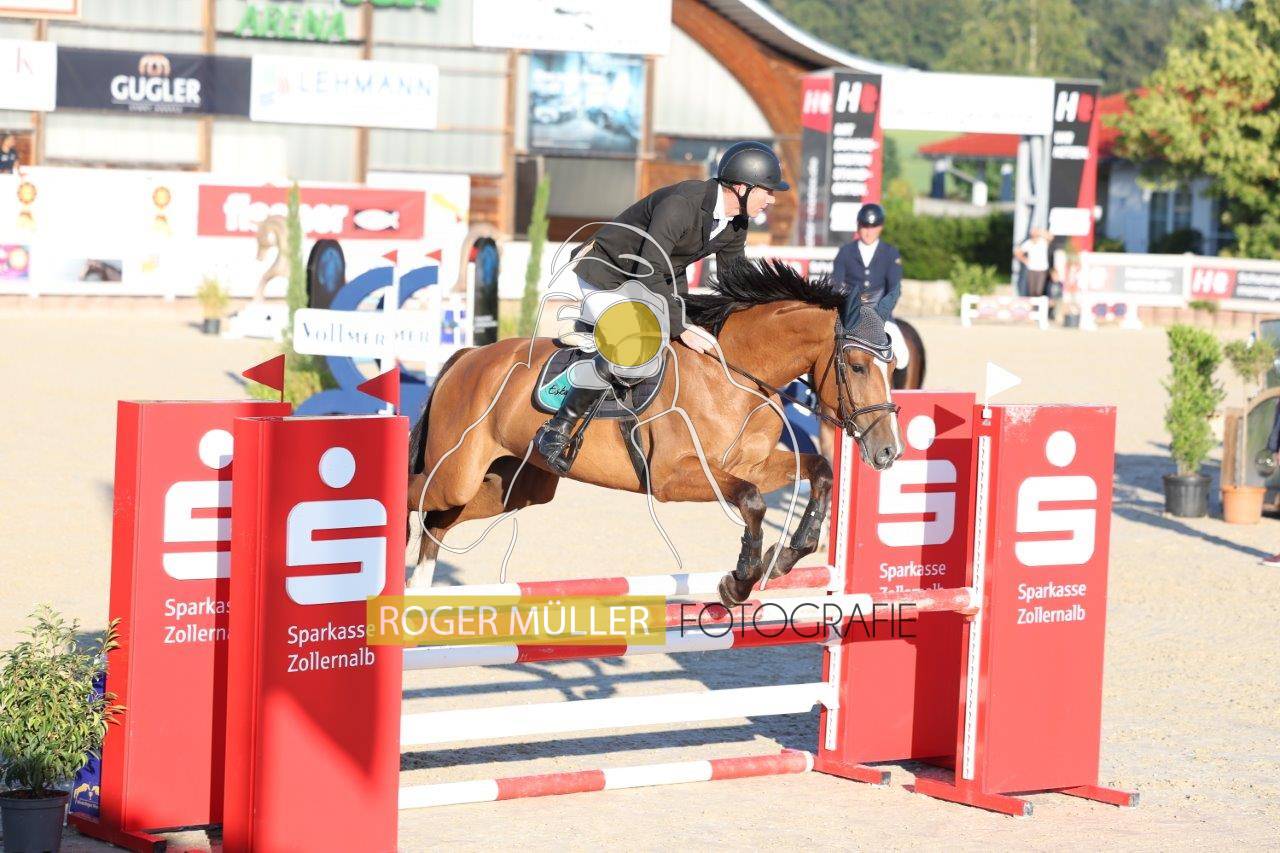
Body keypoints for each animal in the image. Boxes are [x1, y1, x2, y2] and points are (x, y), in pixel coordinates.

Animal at [405, 259, 903, 607]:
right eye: (858, 366)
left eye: (894, 366)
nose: (888, 452)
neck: (732, 375)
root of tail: (469, 356)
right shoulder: (672, 477)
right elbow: (752, 502)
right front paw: (739, 581)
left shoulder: (755, 465)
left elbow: (819, 471)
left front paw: (784, 558)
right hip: (457, 472)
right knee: (417, 497)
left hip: (515, 486)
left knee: (438, 522)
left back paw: (421, 587)